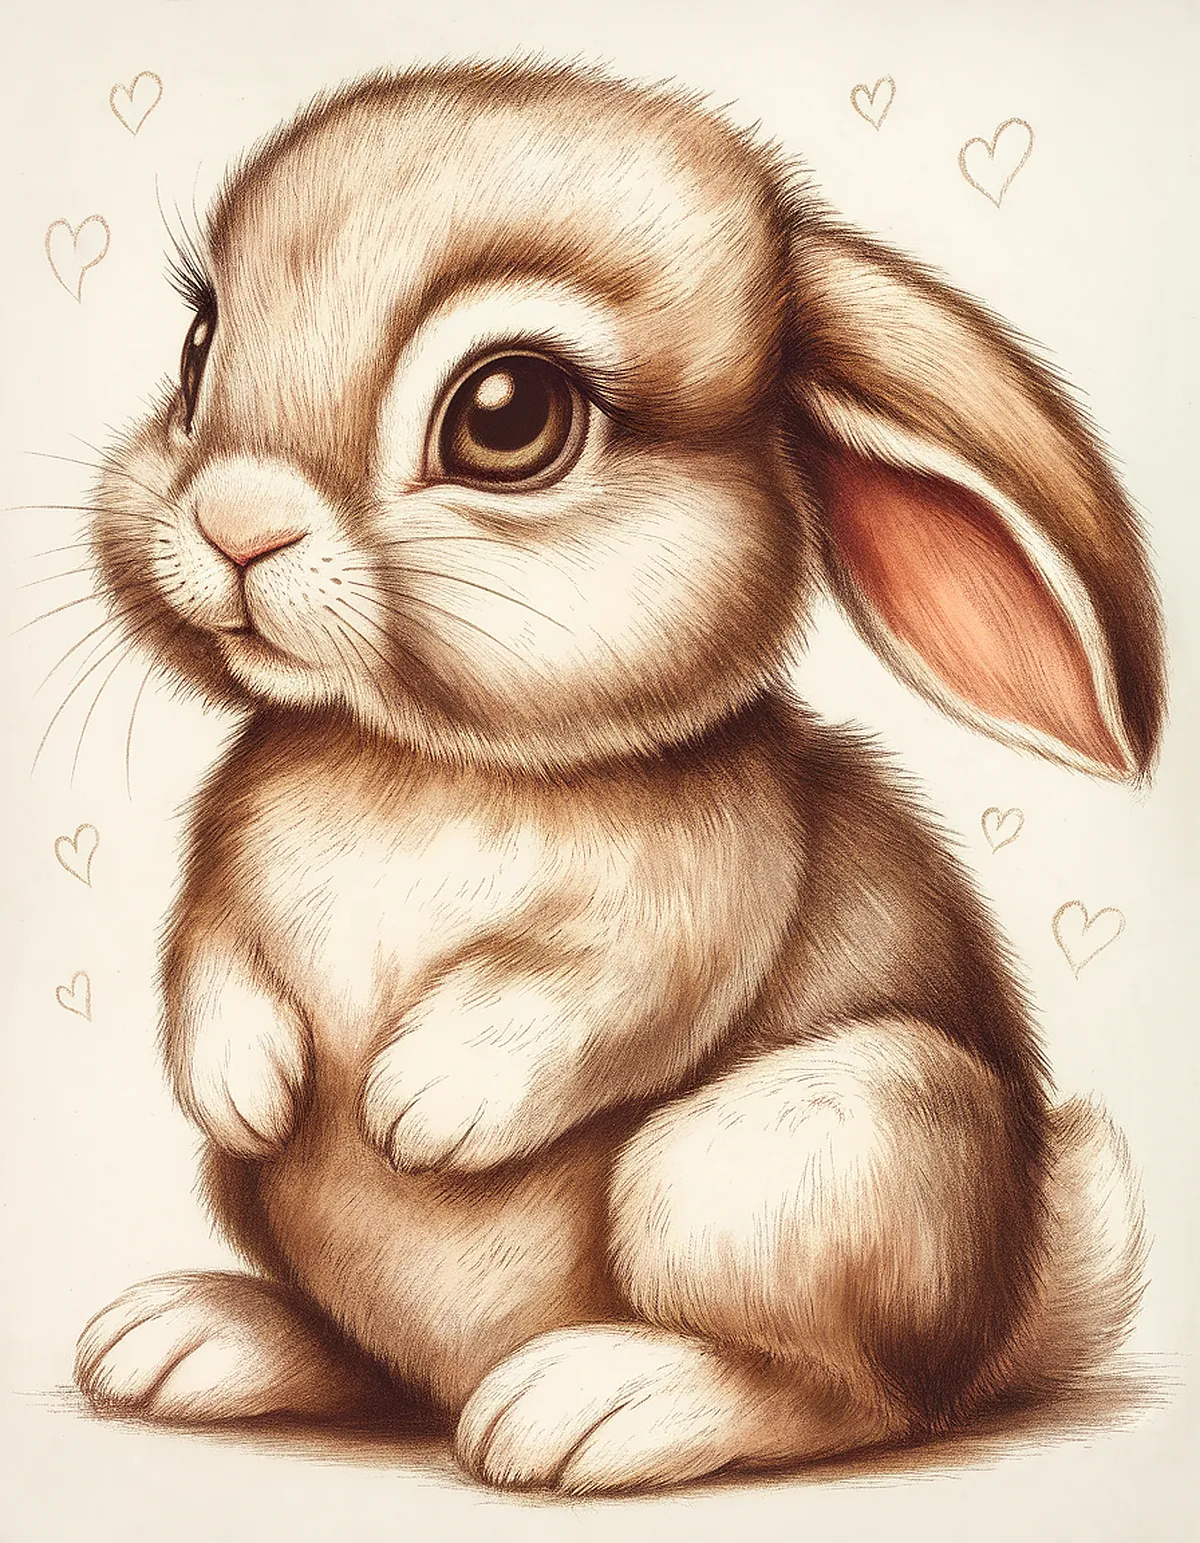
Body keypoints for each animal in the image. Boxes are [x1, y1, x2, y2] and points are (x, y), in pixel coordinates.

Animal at [74, 61, 1161, 1493]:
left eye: (508, 415)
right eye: (200, 350)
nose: (231, 521)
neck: (433, 760)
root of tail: (1006, 1313)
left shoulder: (691, 903)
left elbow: (593, 995)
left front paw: (420, 1107)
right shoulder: (219, 879)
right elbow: (210, 962)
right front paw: (248, 1089)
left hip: (796, 1156)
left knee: (855, 1397)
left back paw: (589, 1408)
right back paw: (189, 1339)